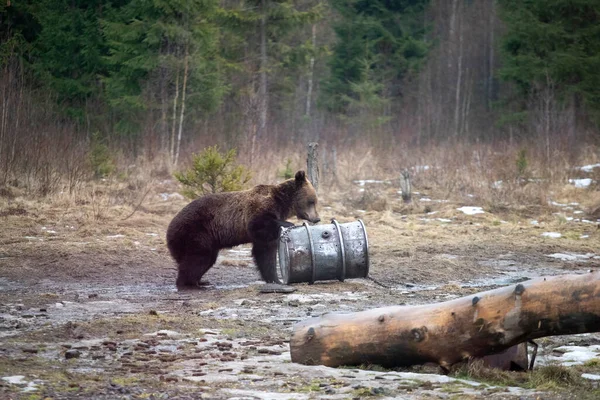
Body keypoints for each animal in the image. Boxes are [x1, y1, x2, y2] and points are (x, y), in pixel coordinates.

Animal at [166, 170, 322, 290]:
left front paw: (274, 278)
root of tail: (170, 228)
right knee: (197, 257)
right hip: (196, 232)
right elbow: (258, 226)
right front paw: (289, 224)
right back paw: (190, 283)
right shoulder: (259, 210)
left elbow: (266, 253)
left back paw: (201, 281)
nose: (317, 219)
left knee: (204, 259)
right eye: (312, 201)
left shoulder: (267, 234)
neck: (283, 204)